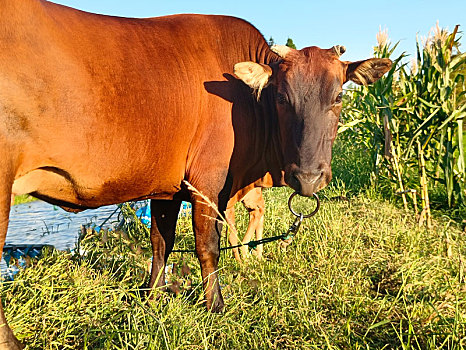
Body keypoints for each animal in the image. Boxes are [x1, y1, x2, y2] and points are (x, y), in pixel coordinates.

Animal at [0, 0, 394, 346]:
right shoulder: (208, 181)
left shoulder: (165, 187)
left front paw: (152, 298)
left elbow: (161, 243)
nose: (308, 177)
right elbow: (208, 247)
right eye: (282, 97)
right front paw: (216, 306)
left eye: (338, 97)